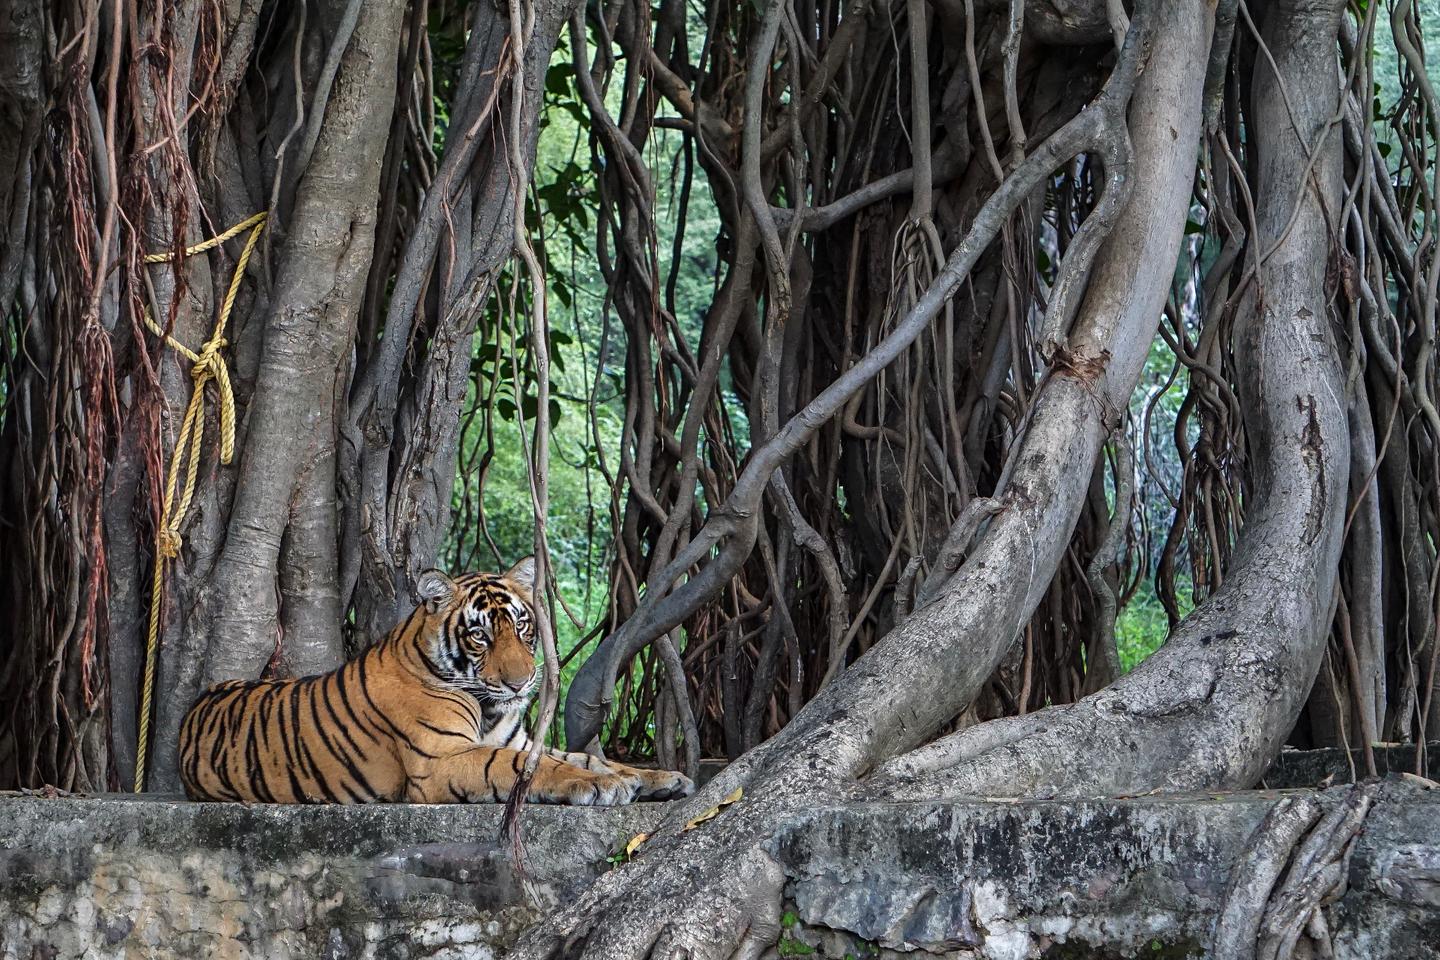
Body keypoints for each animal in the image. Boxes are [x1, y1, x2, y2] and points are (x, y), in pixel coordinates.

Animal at [177, 558, 694, 805]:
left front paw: (656, 777)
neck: (489, 708)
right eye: (480, 635)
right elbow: (523, 767)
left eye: (523, 626)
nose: (521, 684)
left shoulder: (521, 739)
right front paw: (601, 786)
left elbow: (586, 755)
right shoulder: (439, 760)